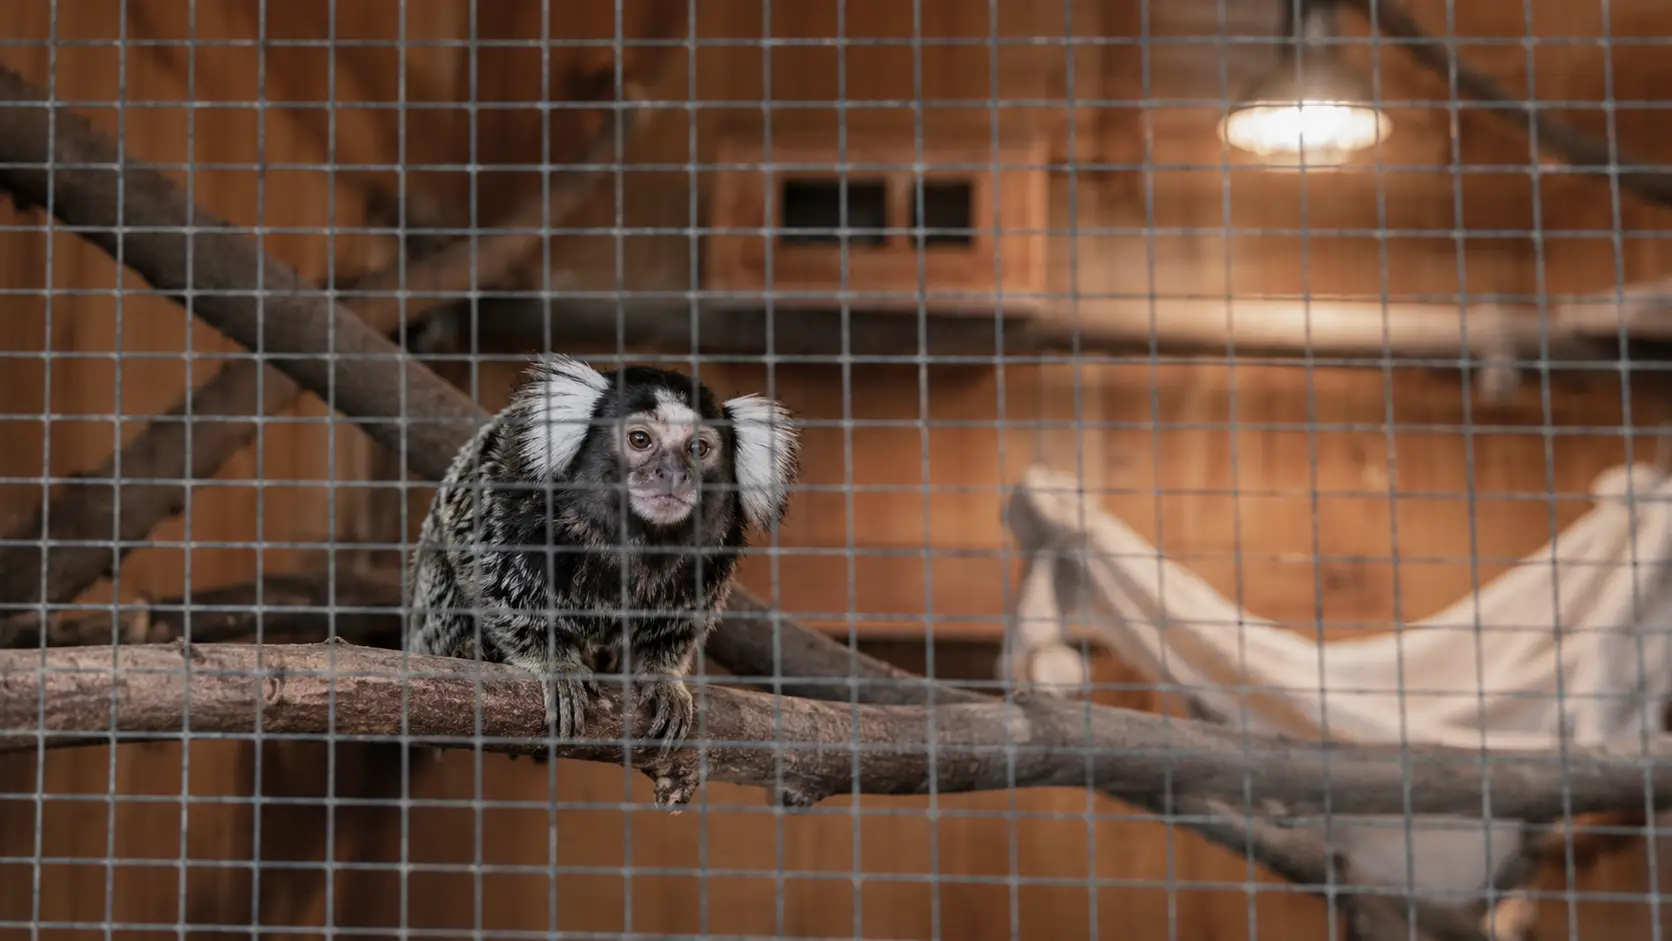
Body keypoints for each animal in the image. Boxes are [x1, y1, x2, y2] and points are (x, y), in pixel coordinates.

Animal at [406, 354, 800, 754]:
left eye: (697, 448)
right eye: (640, 440)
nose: (674, 474)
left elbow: (679, 626)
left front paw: (662, 674)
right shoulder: (505, 500)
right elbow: (486, 576)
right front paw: (555, 663)